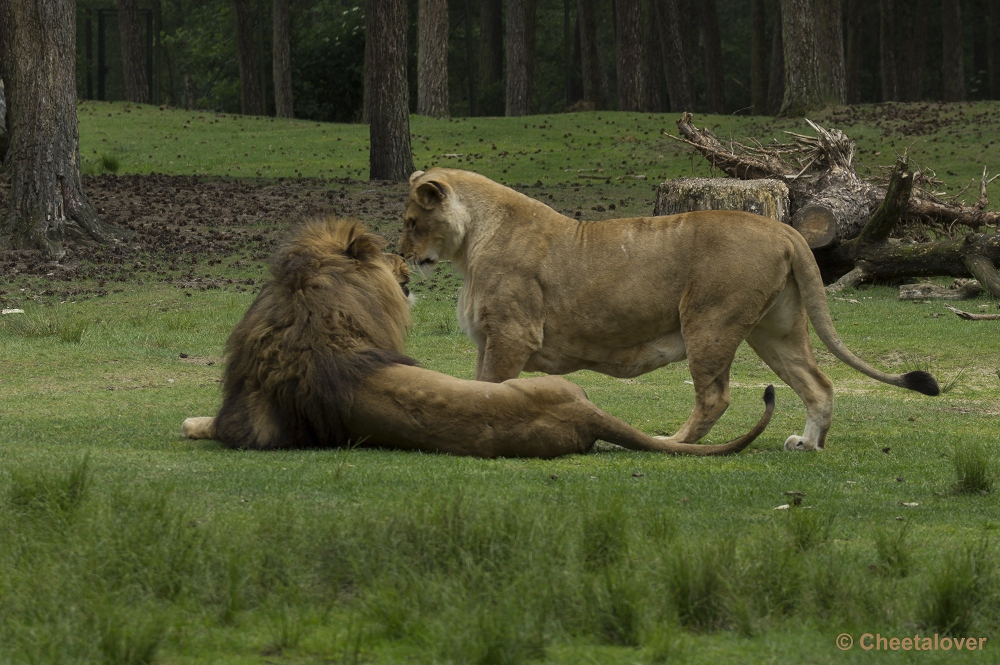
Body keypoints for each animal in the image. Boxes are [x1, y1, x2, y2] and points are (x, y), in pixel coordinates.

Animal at [180, 218, 772, 456]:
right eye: (391, 254)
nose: (406, 258)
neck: (313, 318)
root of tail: (585, 414)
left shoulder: (247, 423)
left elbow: (213, 424)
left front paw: (190, 423)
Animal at [396, 169, 936, 454]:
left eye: (411, 221)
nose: (401, 255)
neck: (472, 241)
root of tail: (785, 229)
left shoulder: (511, 334)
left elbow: (489, 389)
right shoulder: (493, 339)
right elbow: (474, 386)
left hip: (710, 321)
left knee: (715, 397)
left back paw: (677, 441)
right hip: (775, 330)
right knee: (818, 383)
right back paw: (808, 444)